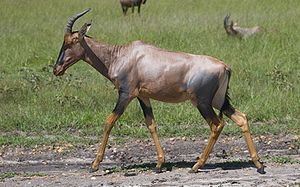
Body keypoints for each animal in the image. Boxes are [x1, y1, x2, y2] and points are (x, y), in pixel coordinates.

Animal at [53, 9, 264, 174]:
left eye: (70, 42)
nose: (57, 69)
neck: (122, 55)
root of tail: (225, 66)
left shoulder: (126, 94)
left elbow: (109, 122)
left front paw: (95, 164)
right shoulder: (143, 96)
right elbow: (151, 124)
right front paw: (159, 164)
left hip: (202, 102)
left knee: (217, 125)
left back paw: (196, 166)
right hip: (219, 100)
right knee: (241, 118)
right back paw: (258, 164)